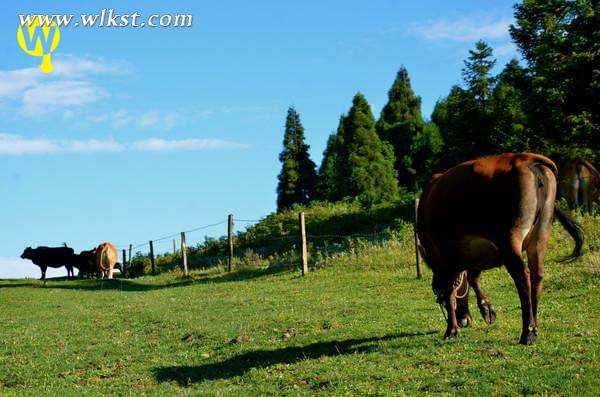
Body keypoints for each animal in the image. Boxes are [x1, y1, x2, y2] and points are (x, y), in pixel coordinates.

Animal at [418, 152, 580, 344]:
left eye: (436, 291)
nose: (464, 320)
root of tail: (527, 158)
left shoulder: (447, 257)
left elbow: (451, 289)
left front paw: (452, 329)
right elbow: (473, 276)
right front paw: (486, 309)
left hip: (510, 238)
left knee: (522, 276)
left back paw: (528, 332)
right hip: (541, 233)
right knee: (537, 276)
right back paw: (534, 327)